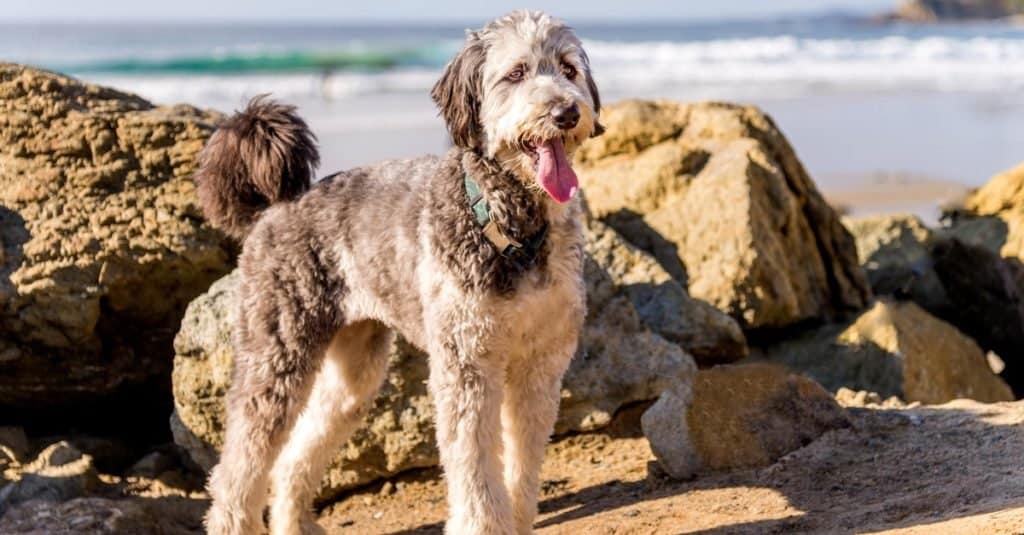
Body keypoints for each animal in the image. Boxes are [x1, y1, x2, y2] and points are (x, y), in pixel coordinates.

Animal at [193, 10, 598, 528]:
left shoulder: (540, 364)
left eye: (568, 69)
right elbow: (473, 464)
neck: (513, 224)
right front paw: (482, 524)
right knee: (237, 468)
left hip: (354, 370)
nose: (566, 113)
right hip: (277, 353)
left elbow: (523, 465)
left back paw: (295, 523)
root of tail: (272, 210)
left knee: (293, 456)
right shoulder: (466, 364)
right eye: (516, 73)